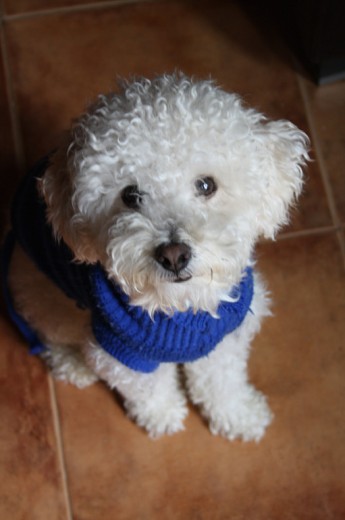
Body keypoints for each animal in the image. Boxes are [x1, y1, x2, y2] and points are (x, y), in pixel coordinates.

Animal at [4, 72, 308, 438]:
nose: (173, 255)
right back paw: (73, 363)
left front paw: (237, 414)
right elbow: (149, 388)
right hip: (46, 300)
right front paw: (162, 415)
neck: (182, 308)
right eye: (131, 195)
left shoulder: (227, 334)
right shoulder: (122, 351)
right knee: (52, 335)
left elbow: (222, 379)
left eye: (206, 185)